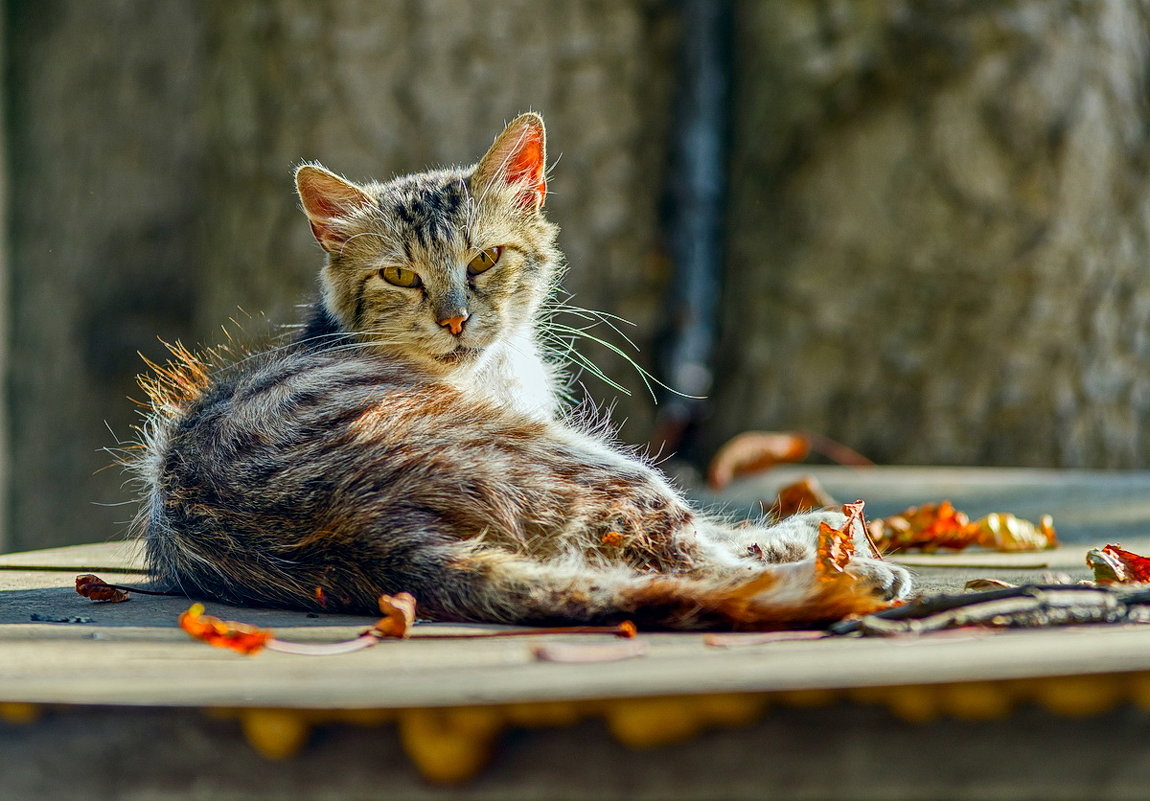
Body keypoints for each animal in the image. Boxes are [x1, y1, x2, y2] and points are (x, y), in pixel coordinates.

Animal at [132, 112, 906, 629]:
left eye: (484, 259)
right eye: (398, 276)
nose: (454, 318)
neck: (504, 365)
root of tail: (365, 541)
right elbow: (699, 544)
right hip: (577, 460)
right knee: (685, 557)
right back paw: (858, 570)